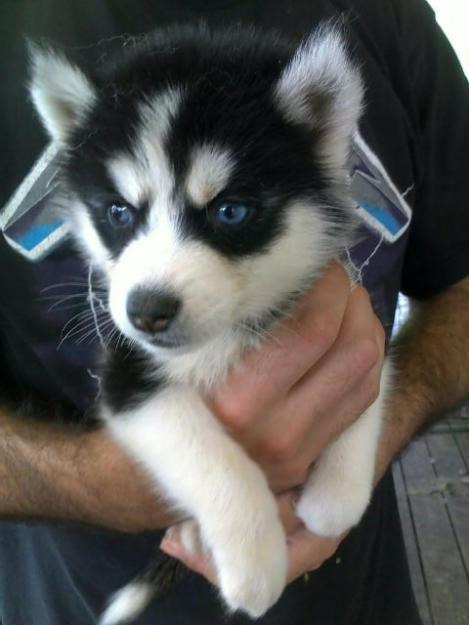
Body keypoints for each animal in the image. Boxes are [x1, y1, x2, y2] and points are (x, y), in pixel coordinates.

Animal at [30, 24, 388, 624]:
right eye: (119, 213)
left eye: (230, 212)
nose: (147, 310)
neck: (226, 334)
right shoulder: (128, 380)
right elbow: (215, 461)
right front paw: (255, 565)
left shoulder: (349, 309)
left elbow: (369, 374)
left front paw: (336, 495)